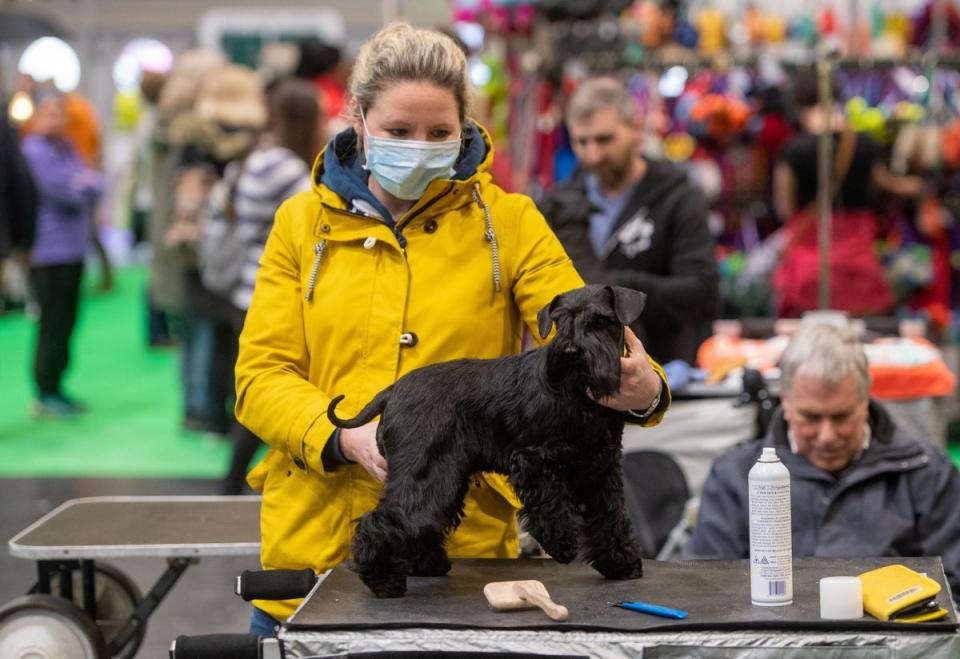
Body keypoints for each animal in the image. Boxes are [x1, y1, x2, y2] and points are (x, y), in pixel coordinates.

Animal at [330, 284, 652, 600]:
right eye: (560, 322)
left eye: (600, 320)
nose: (571, 351)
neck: (578, 393)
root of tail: (393, 390)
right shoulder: (534, 460)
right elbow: (551, 504)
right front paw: (562, 545)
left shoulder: (600, 466)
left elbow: (610, 516)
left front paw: (622, 564)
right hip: (427, 473)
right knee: (385, 520)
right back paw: (384, 581)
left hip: (445, 477)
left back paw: (427, 565)